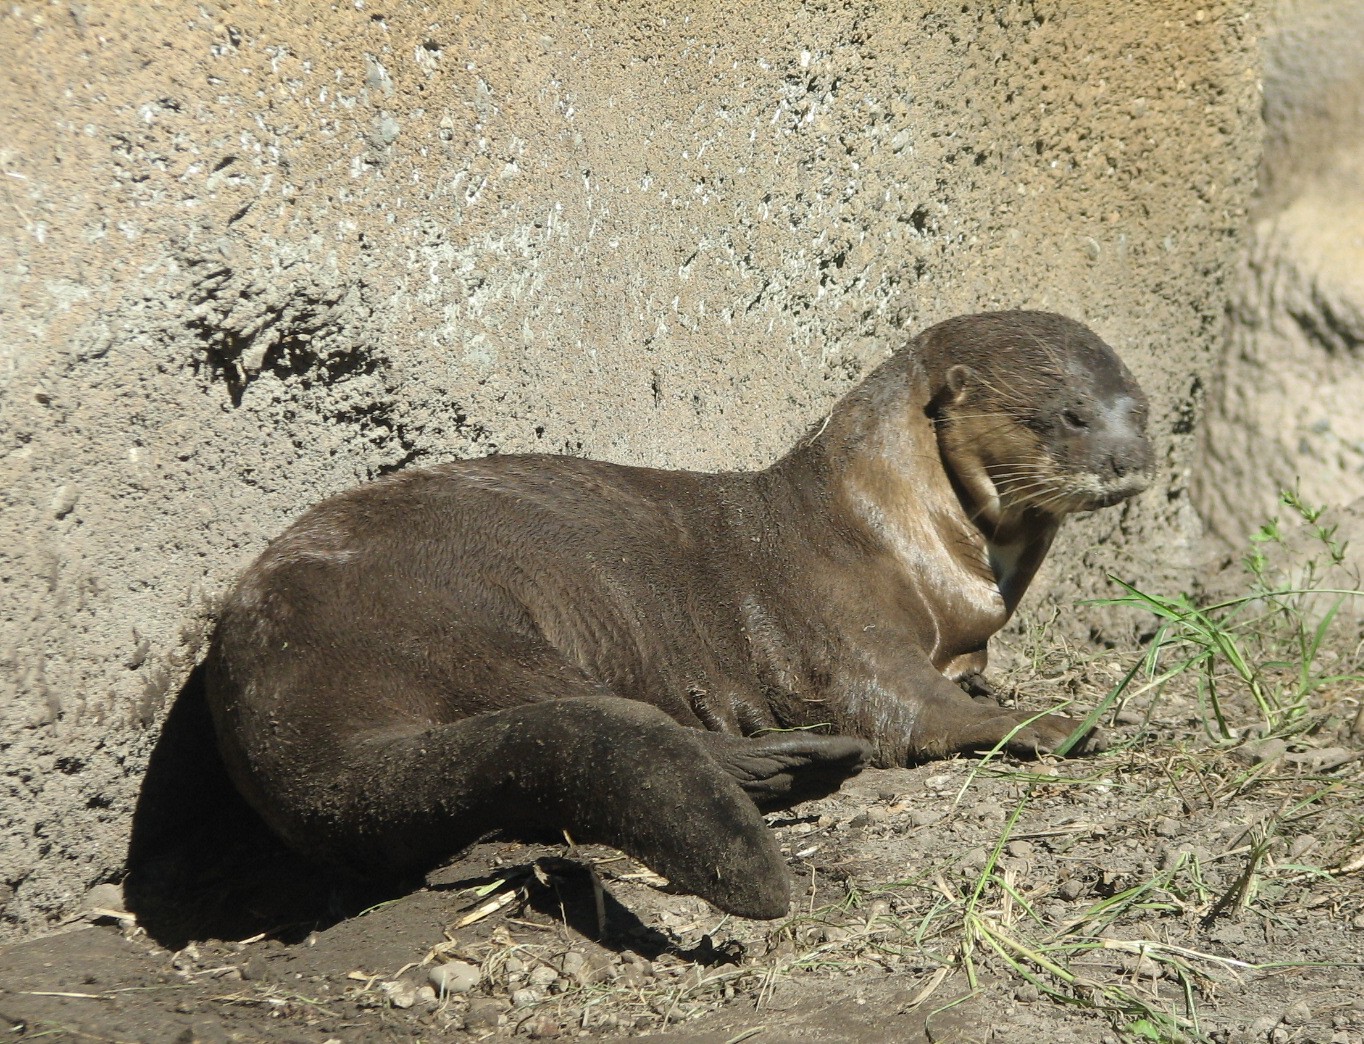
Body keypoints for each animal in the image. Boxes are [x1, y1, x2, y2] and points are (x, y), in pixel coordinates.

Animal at [204, 310, 1153, 920]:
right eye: (1068, 414)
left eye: (1140, 410)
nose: (1132, 458)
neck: (903, 532)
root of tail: (279, 715)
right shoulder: (844, 625)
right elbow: (907, 710)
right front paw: (1050, 721)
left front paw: (1002, 692)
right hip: (453, 621)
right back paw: (792, 762)